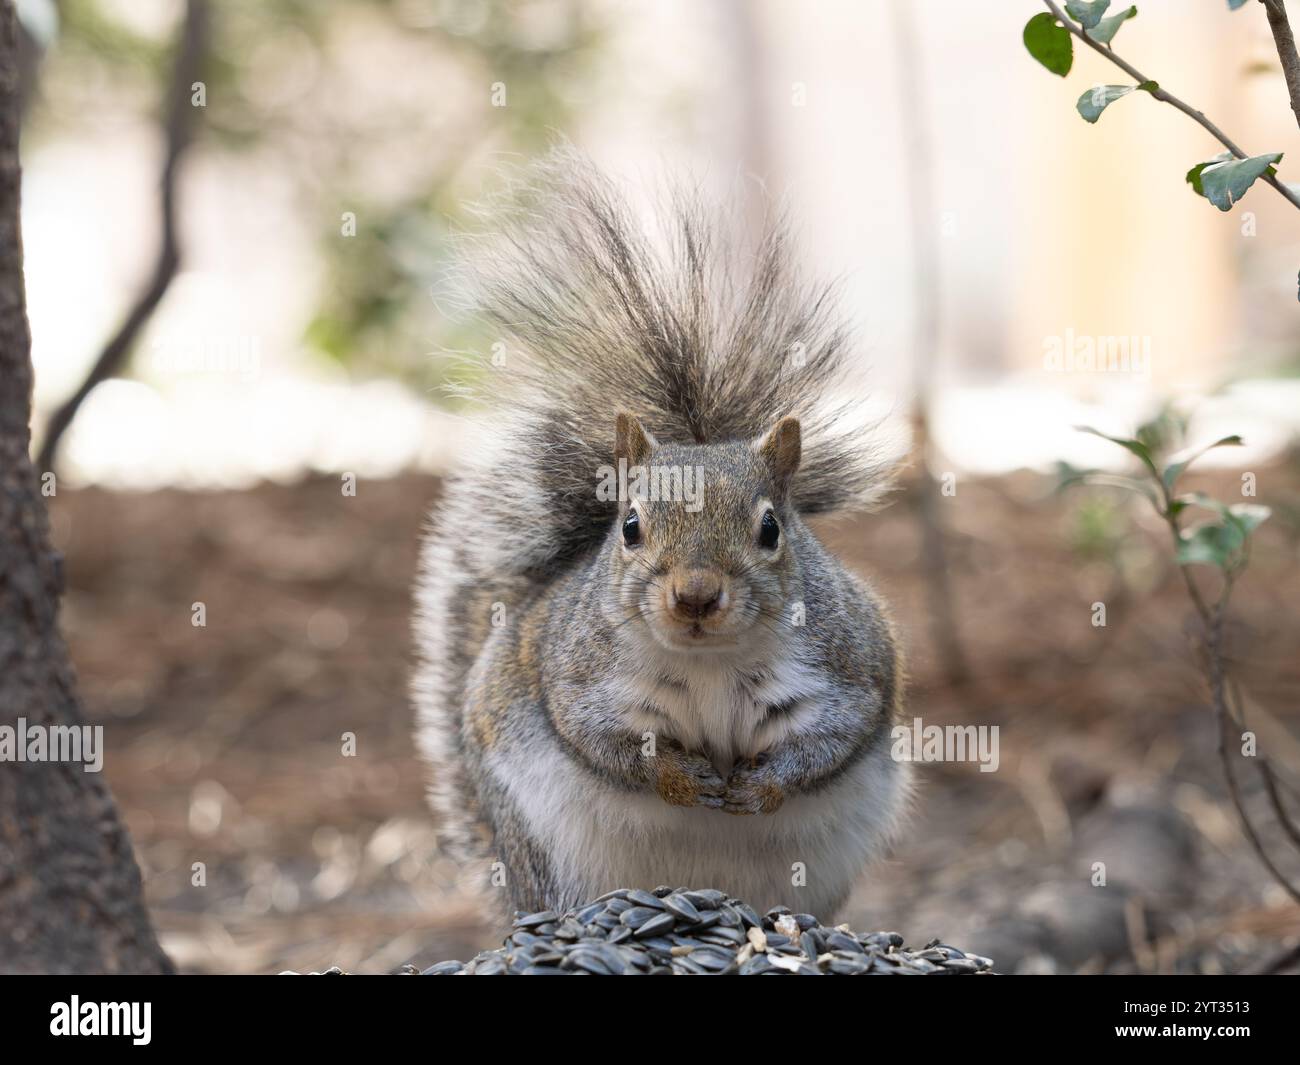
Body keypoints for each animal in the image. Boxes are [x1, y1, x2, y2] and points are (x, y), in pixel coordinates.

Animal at [413, 153, 909, 920]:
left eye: (771, 528)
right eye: (630, 527)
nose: (695, 595)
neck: (710, 664)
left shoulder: (848, 668)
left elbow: (827, 741)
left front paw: (760, 786)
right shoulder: (580, 676)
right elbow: (608, 744)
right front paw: (680, 779)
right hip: (543, 852)